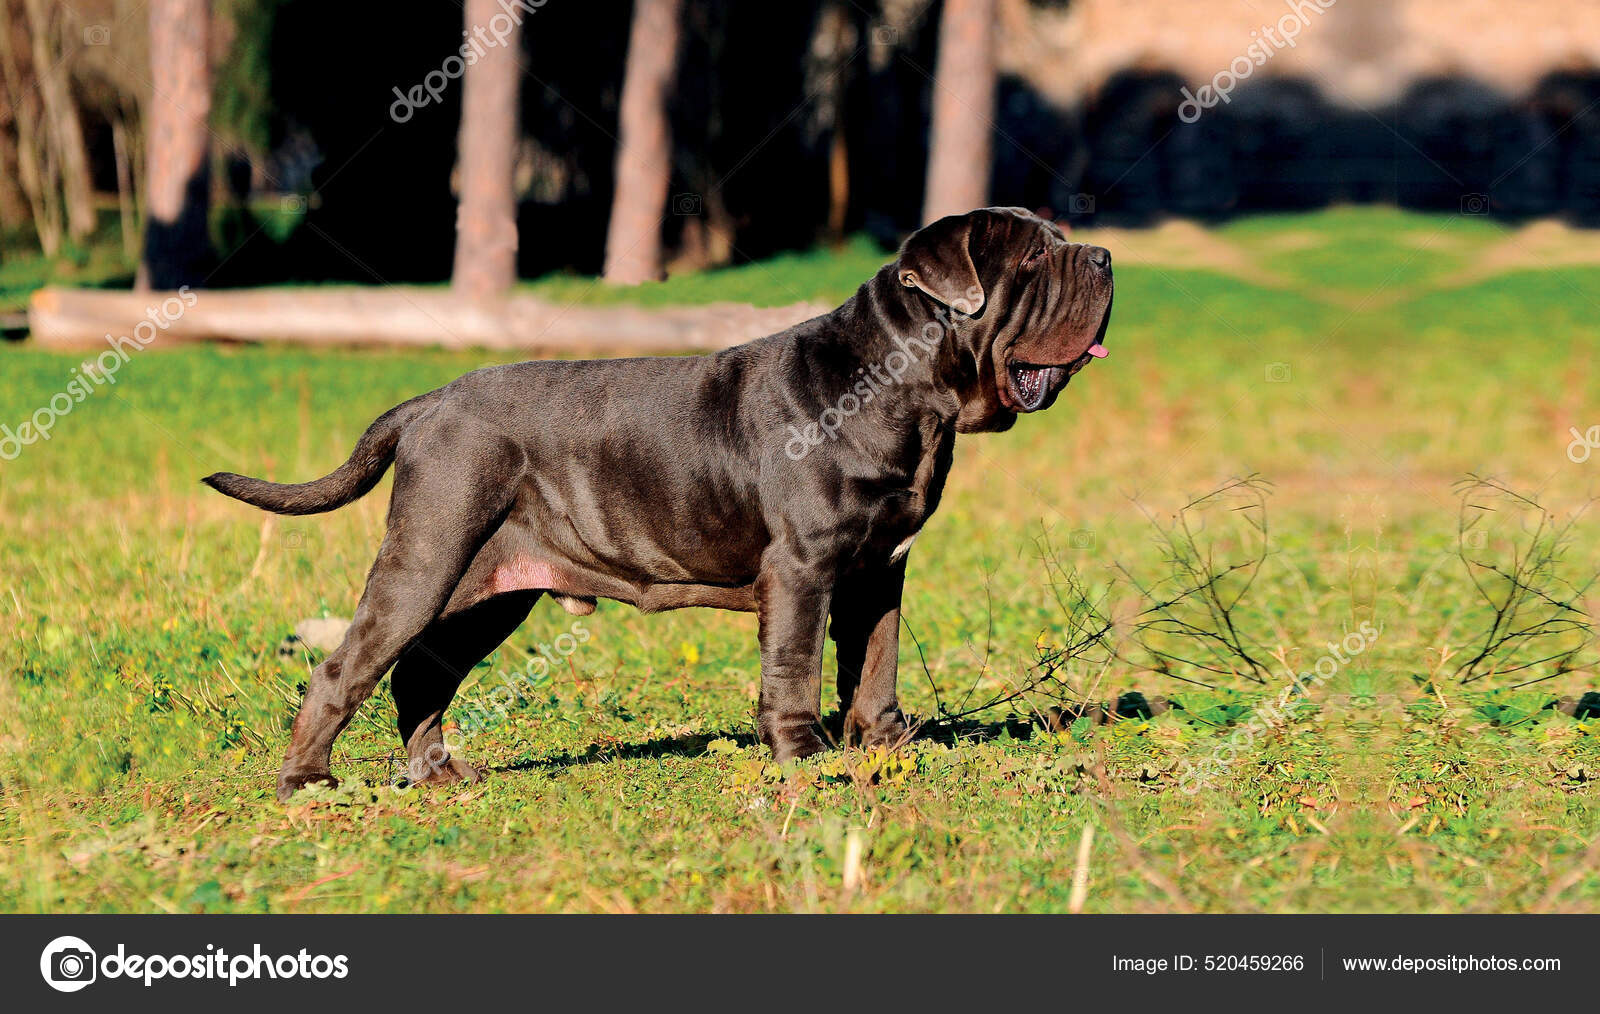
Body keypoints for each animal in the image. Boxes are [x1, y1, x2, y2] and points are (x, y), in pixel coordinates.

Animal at [204, 207, 1113, 801]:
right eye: (1035, 260)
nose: (1104, 256)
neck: (905, 390)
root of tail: (430, 402)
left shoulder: (879, 571)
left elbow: (876, 664)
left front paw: (889, 745)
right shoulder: (804, 569)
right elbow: (796, 667)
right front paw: (806, 758)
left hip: (483, 590)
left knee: (421, 673)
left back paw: (439, 774)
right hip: (424, 561)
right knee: (343, 668)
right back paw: (307, 782)